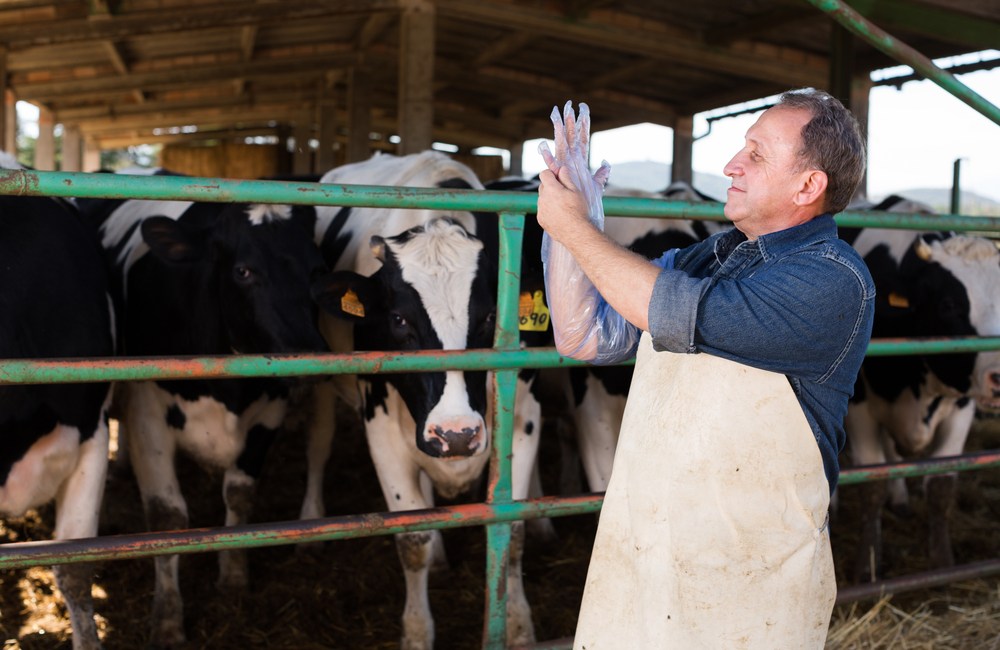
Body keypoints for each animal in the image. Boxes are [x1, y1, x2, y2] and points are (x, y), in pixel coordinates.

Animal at [78, 170, 334, 644]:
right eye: (243, 270)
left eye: (318, 270)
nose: (309, 355)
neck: (227, 391)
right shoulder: (148, 416)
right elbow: (167, 518)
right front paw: (167, 618)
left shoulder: (267, 415)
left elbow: (239, 493)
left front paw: (233, 578)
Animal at [306, 151, 544, 648]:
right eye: (398, 319)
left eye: (489, 316)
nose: (456, 434)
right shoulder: (381, 431)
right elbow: (411, 540)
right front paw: (417, 632)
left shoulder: (525, 418)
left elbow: (512, 528)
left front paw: (518, 626)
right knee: (318, 440)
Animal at [840, 195, 1000, 580]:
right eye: (949, 304)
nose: (999, 376)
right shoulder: (860, 408)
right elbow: (871, 483)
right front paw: (867, 566)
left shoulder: (962, 406)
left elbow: (941, 486)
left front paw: (943, 564)